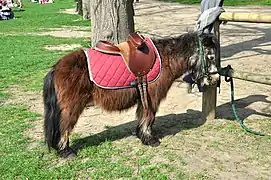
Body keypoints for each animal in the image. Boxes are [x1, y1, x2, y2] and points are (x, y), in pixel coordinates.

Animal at [43, 32, 221, 158]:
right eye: (211, 56)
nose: (216, 79)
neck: (166, 58)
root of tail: (56, 68)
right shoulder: (151, 98)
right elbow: (149, 118)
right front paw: (150, 139)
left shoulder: (145, 98)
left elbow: (143, 117)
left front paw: (142, 136)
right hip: (71, 107)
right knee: (64, 126)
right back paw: (66, 151)